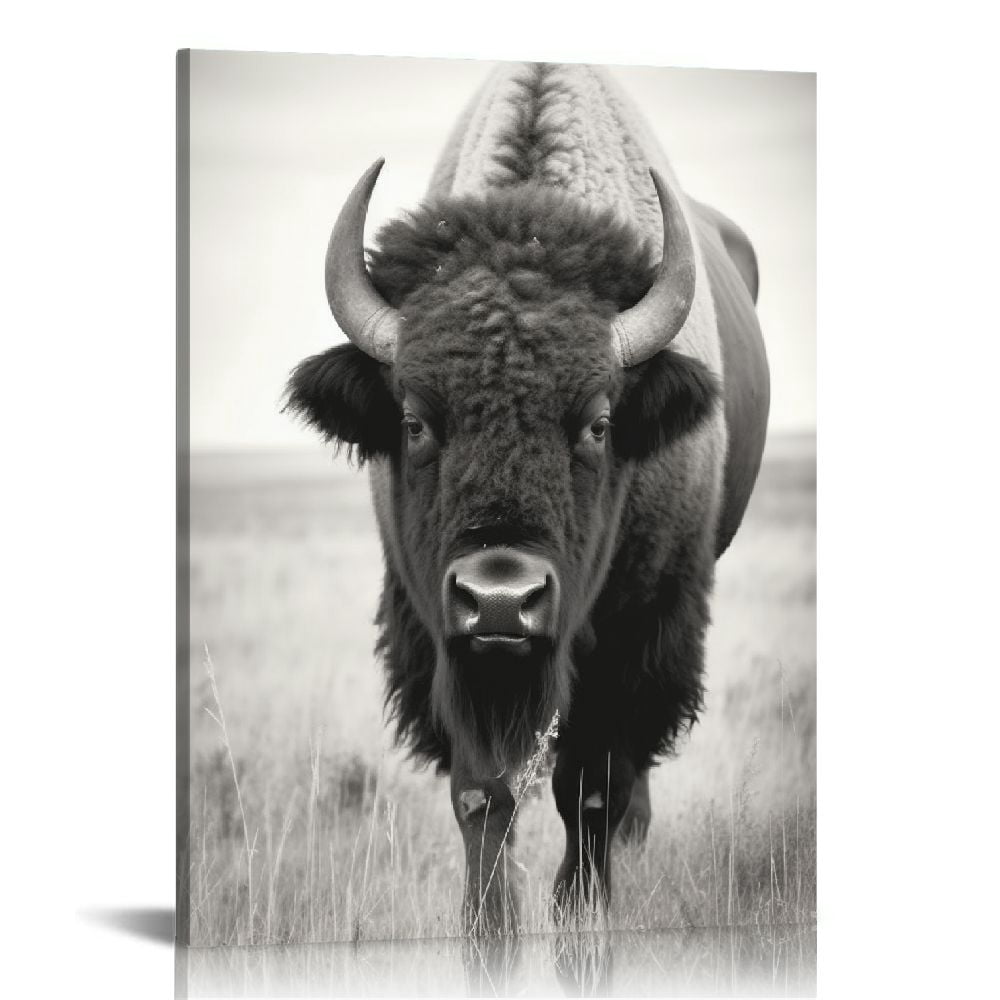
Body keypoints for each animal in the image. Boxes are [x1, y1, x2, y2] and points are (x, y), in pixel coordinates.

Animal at [286, 62, 769, 935]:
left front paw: (581, 917)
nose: (501, 601)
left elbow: (592, 787)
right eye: (414, 420)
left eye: (599, 422)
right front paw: (491, 929)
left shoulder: (638, 630)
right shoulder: (442, 640)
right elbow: (486, 793)